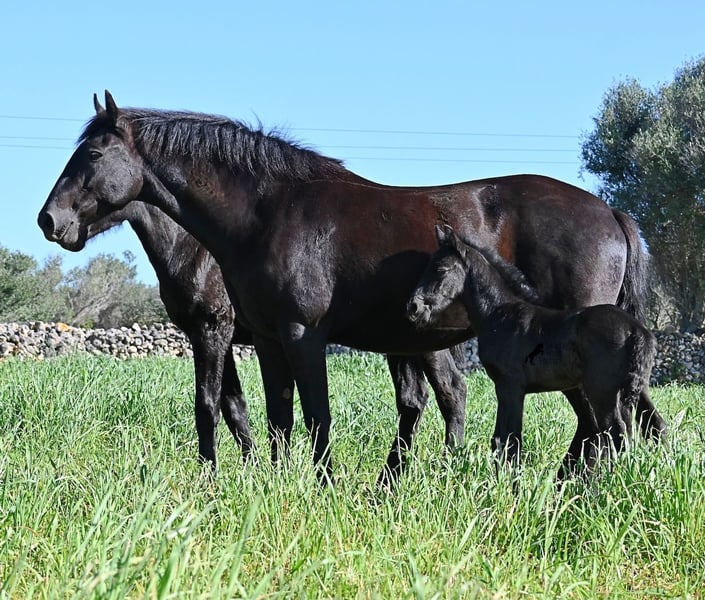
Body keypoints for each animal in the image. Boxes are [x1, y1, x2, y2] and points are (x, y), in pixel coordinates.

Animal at [73, 201, 469, 482]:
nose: (64, 227)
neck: (194, 249)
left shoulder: (212, 331)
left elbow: (213, 404)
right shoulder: (222, 339)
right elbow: (234, 406)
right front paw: (255, 468)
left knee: (450, 391)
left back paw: (447, 468)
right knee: (425, 397)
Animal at [407, 225, 660, 477]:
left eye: (441, 268)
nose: (413, 307)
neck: (499, 313)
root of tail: (637, 330)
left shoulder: (510, 386)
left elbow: (509, 439)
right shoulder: (508, 388)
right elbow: (501, 439)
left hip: (603, 391)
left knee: (615, 434)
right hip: (625, 392)